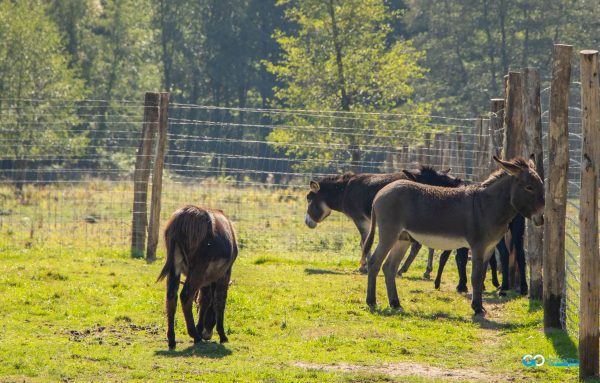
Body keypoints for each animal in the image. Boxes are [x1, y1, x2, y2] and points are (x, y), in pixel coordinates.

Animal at [157, 206, 237, 350]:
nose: (207, 335)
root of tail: (184, 215)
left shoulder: (206, 279)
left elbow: (204, 299)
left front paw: (199, 328)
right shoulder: (225, 273)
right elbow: (219, 300)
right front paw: (222, 335)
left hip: (175, 266)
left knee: (171, 296)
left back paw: (172, 340)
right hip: (198, 268)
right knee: (185, 295)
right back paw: (194, 335)